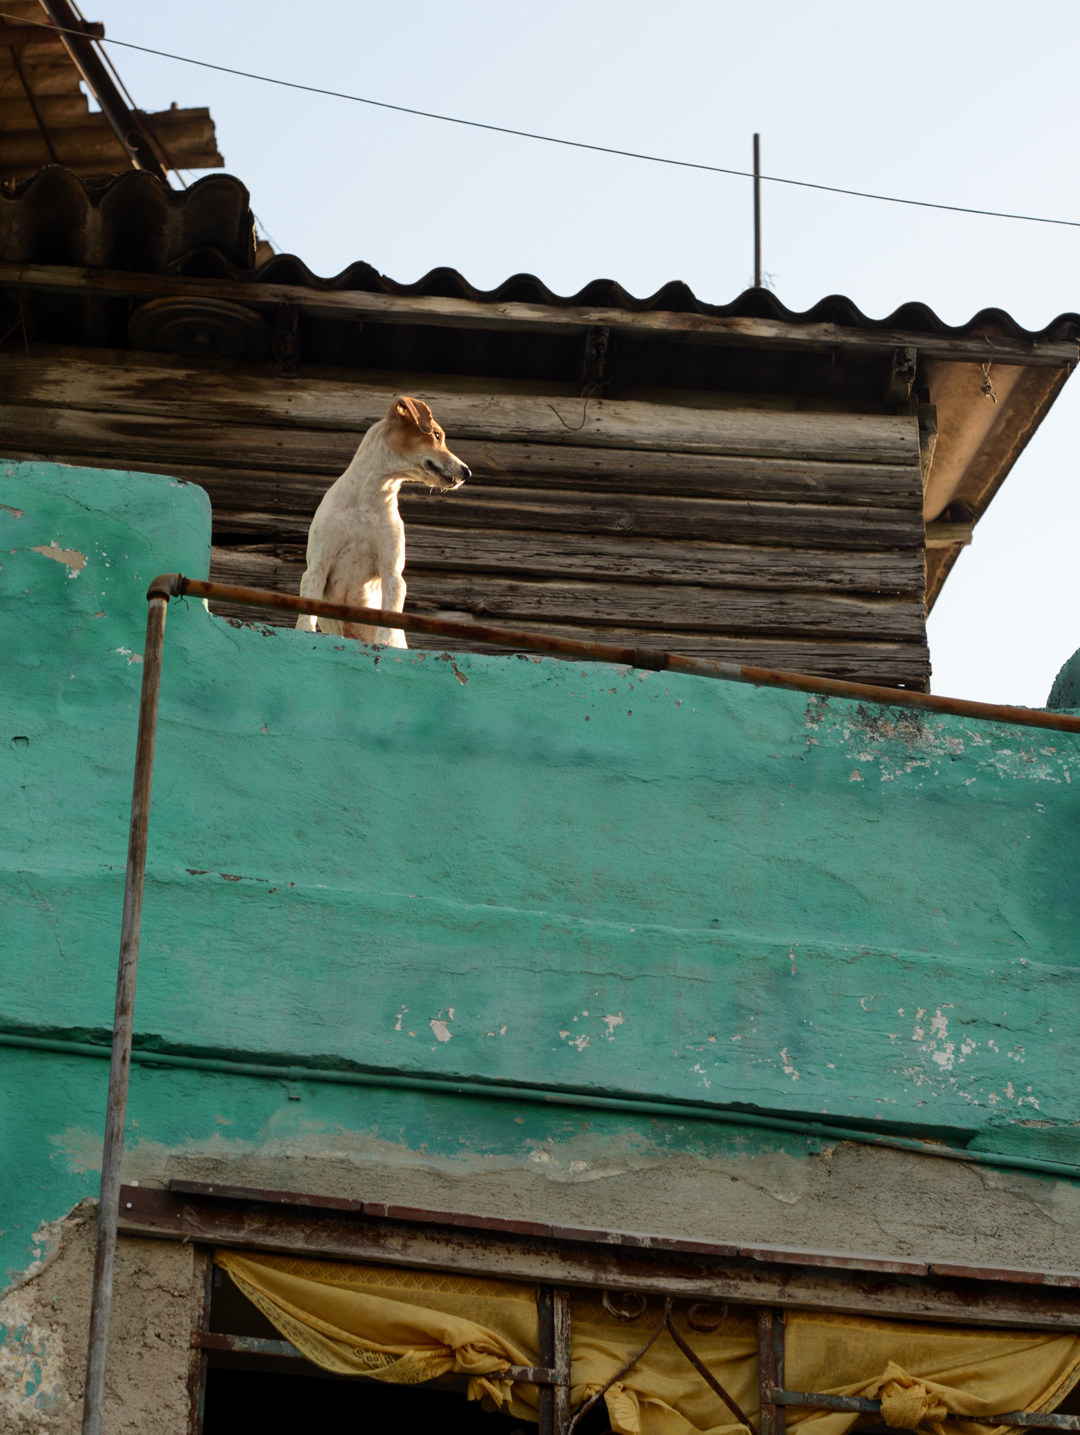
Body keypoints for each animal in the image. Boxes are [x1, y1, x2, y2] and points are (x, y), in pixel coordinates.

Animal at [295, 396, 467, 648]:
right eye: (436, 435)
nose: (467, 472)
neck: (366, 502)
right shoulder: (317, 566)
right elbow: (307, 613)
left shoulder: (392, 573)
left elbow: (389, 616)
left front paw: (384, 643)